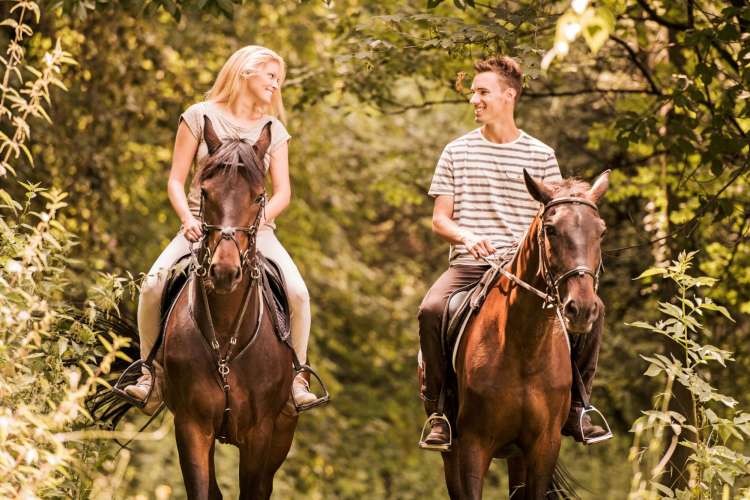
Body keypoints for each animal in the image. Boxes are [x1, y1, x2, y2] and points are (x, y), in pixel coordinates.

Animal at [164, 118, 296, 500]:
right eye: (206, 193)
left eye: (259, 196)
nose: (224, 272)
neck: (224, 336)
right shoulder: (191, 427)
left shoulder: (260, 433)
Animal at [440, 170, 612, 498]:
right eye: (551, 230)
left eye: (601, 232)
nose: (582, 308)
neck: (525, 348)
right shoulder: (473, 446)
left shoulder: (544, 447)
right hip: (452, 453)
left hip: (517, 457)